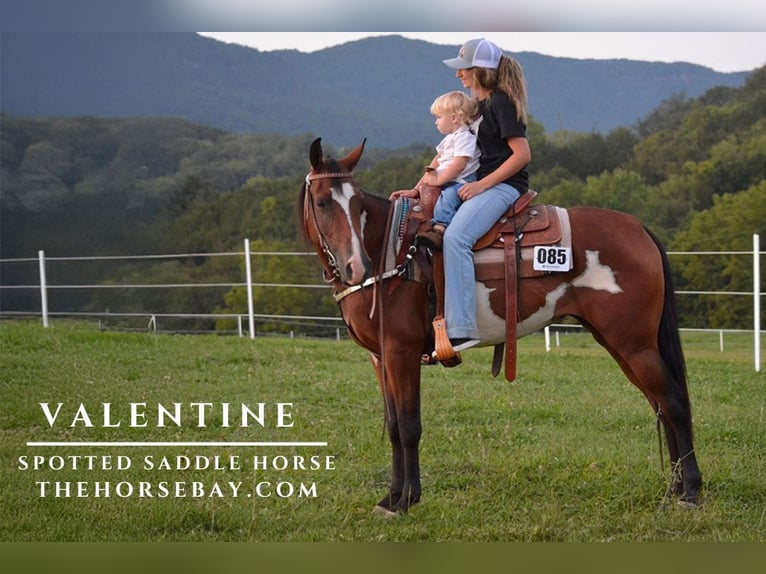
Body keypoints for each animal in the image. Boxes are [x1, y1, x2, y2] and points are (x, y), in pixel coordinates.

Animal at [297, 137, 702, 515]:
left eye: (357, 205)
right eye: (323, 202)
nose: (356, 267)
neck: (394, 254)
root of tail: (639, 229)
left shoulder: (402, 353)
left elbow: (409, 426)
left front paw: (406, 501)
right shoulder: (381, 358)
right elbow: (395, 425)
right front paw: (391, 498)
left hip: (635, 344)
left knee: (674, 402)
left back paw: (691, 494)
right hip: (620, 344)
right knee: (660, 404)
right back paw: (675, 489)